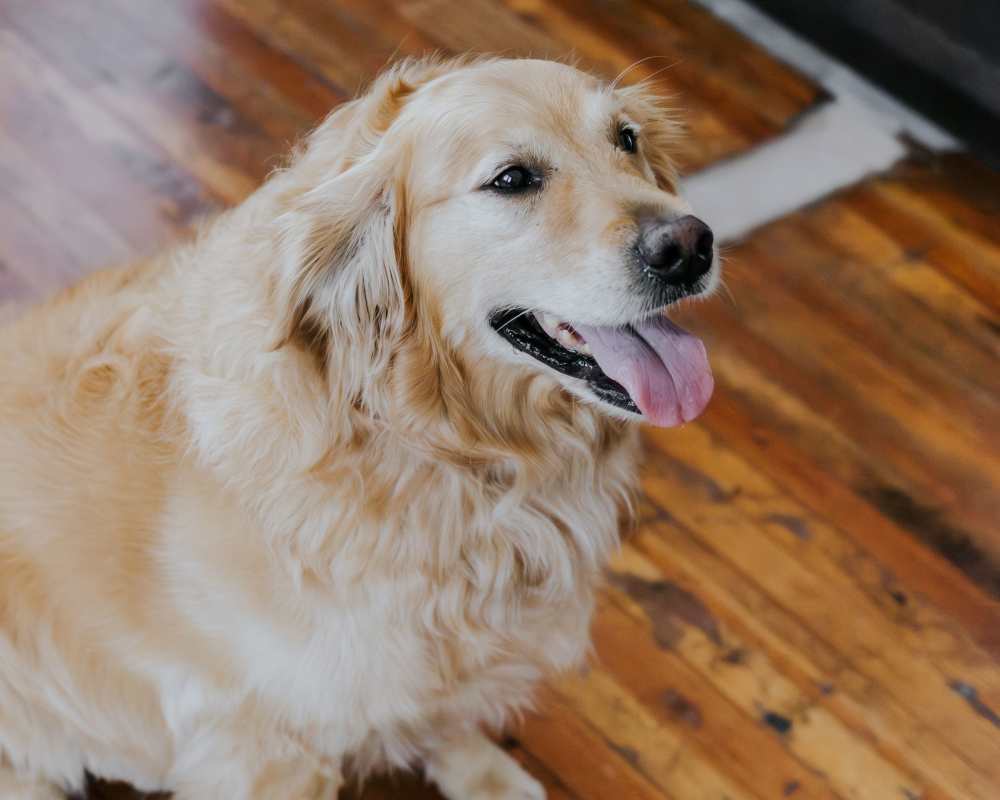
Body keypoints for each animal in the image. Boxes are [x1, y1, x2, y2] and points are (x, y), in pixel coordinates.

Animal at [0, 57, 720, 800]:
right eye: (513, 179)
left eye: (627, 139)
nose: (690, 247)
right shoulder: (266, 750)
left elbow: (449, 717)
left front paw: (484, 774)